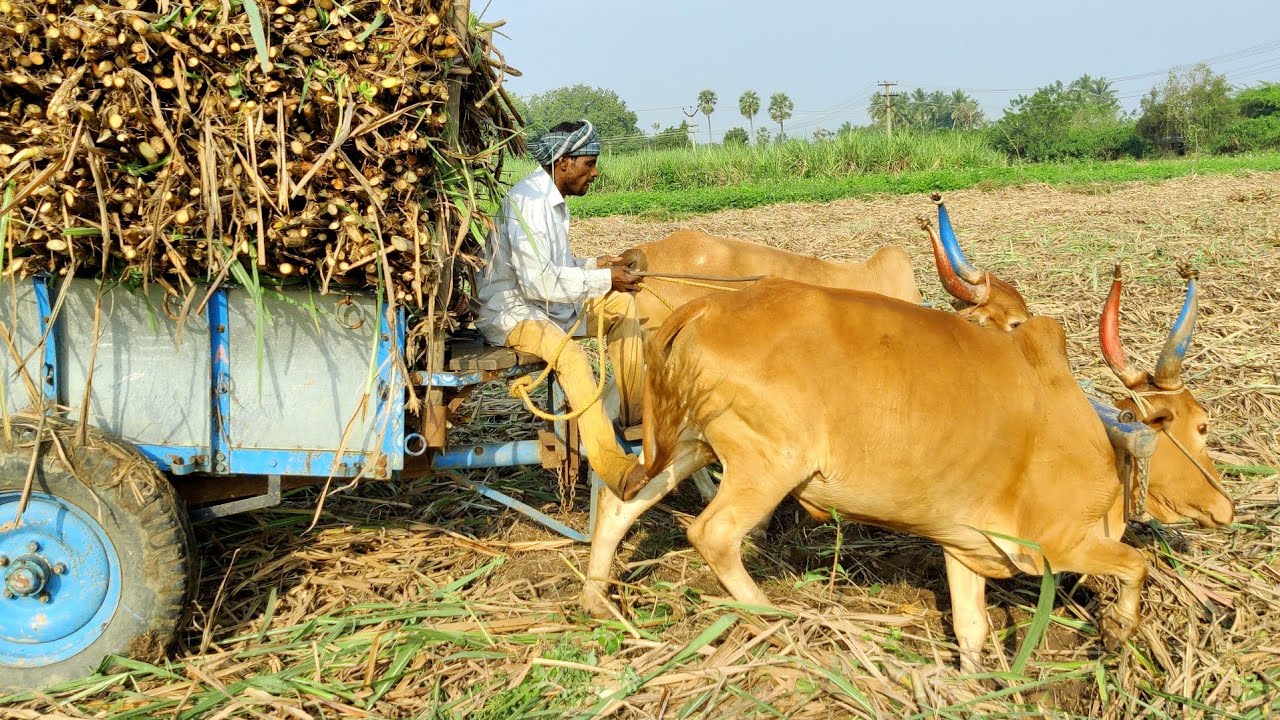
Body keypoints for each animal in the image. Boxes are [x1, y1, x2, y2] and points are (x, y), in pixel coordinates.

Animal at [583, 271, 1233, 672]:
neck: (1097, 435)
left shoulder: (966, 546)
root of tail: (708, 304)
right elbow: (1137, 565)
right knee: (711, 533)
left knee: (622, 503)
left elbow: (971, 632)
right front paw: (1118, 634)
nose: (1226, 508)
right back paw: (778, 620)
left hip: (694, 442)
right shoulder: (1059, 543)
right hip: (767, 465)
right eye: (1202, 426)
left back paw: (595, 600)